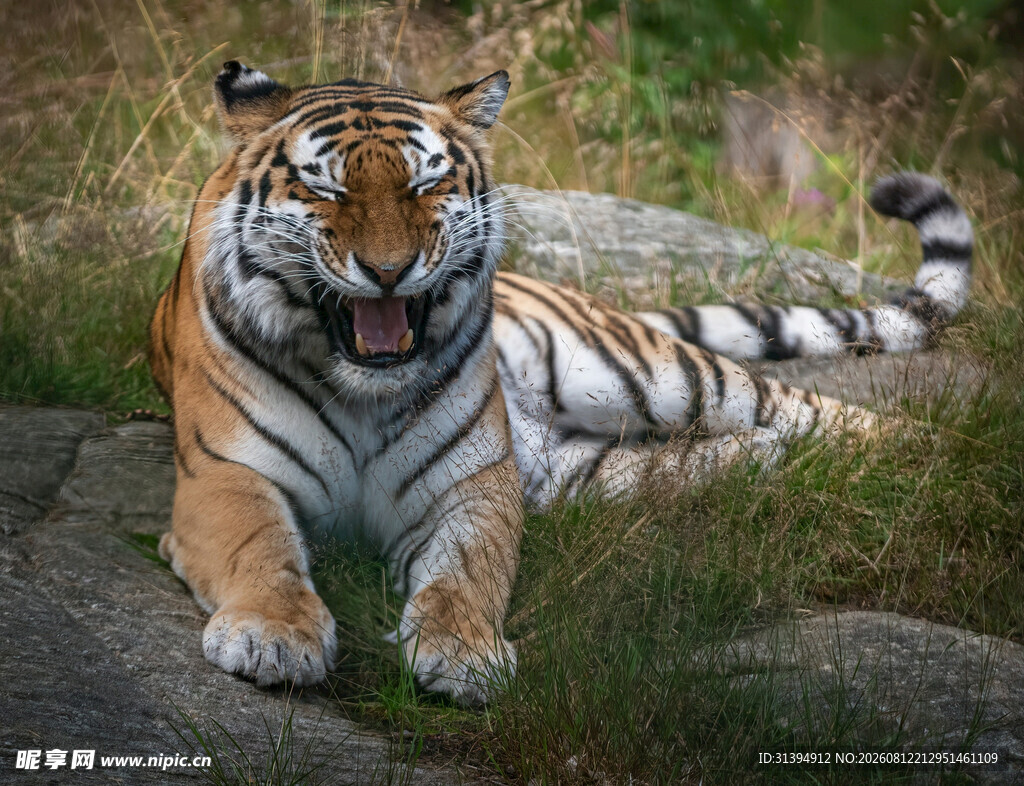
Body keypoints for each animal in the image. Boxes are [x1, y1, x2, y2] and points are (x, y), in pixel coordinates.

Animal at [149, 61, 973, 706]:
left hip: (647, 375)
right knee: (719, 452)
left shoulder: (472, 486)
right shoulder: (226, 474)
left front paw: (464, 654)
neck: (362, 386)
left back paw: (936, 461)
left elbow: (465, 575)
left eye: (426, 182)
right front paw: (274, 636)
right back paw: (761, 462)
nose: (388, 271)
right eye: (325, 189)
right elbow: (260, 552)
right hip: (585, 473)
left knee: (813, 409)